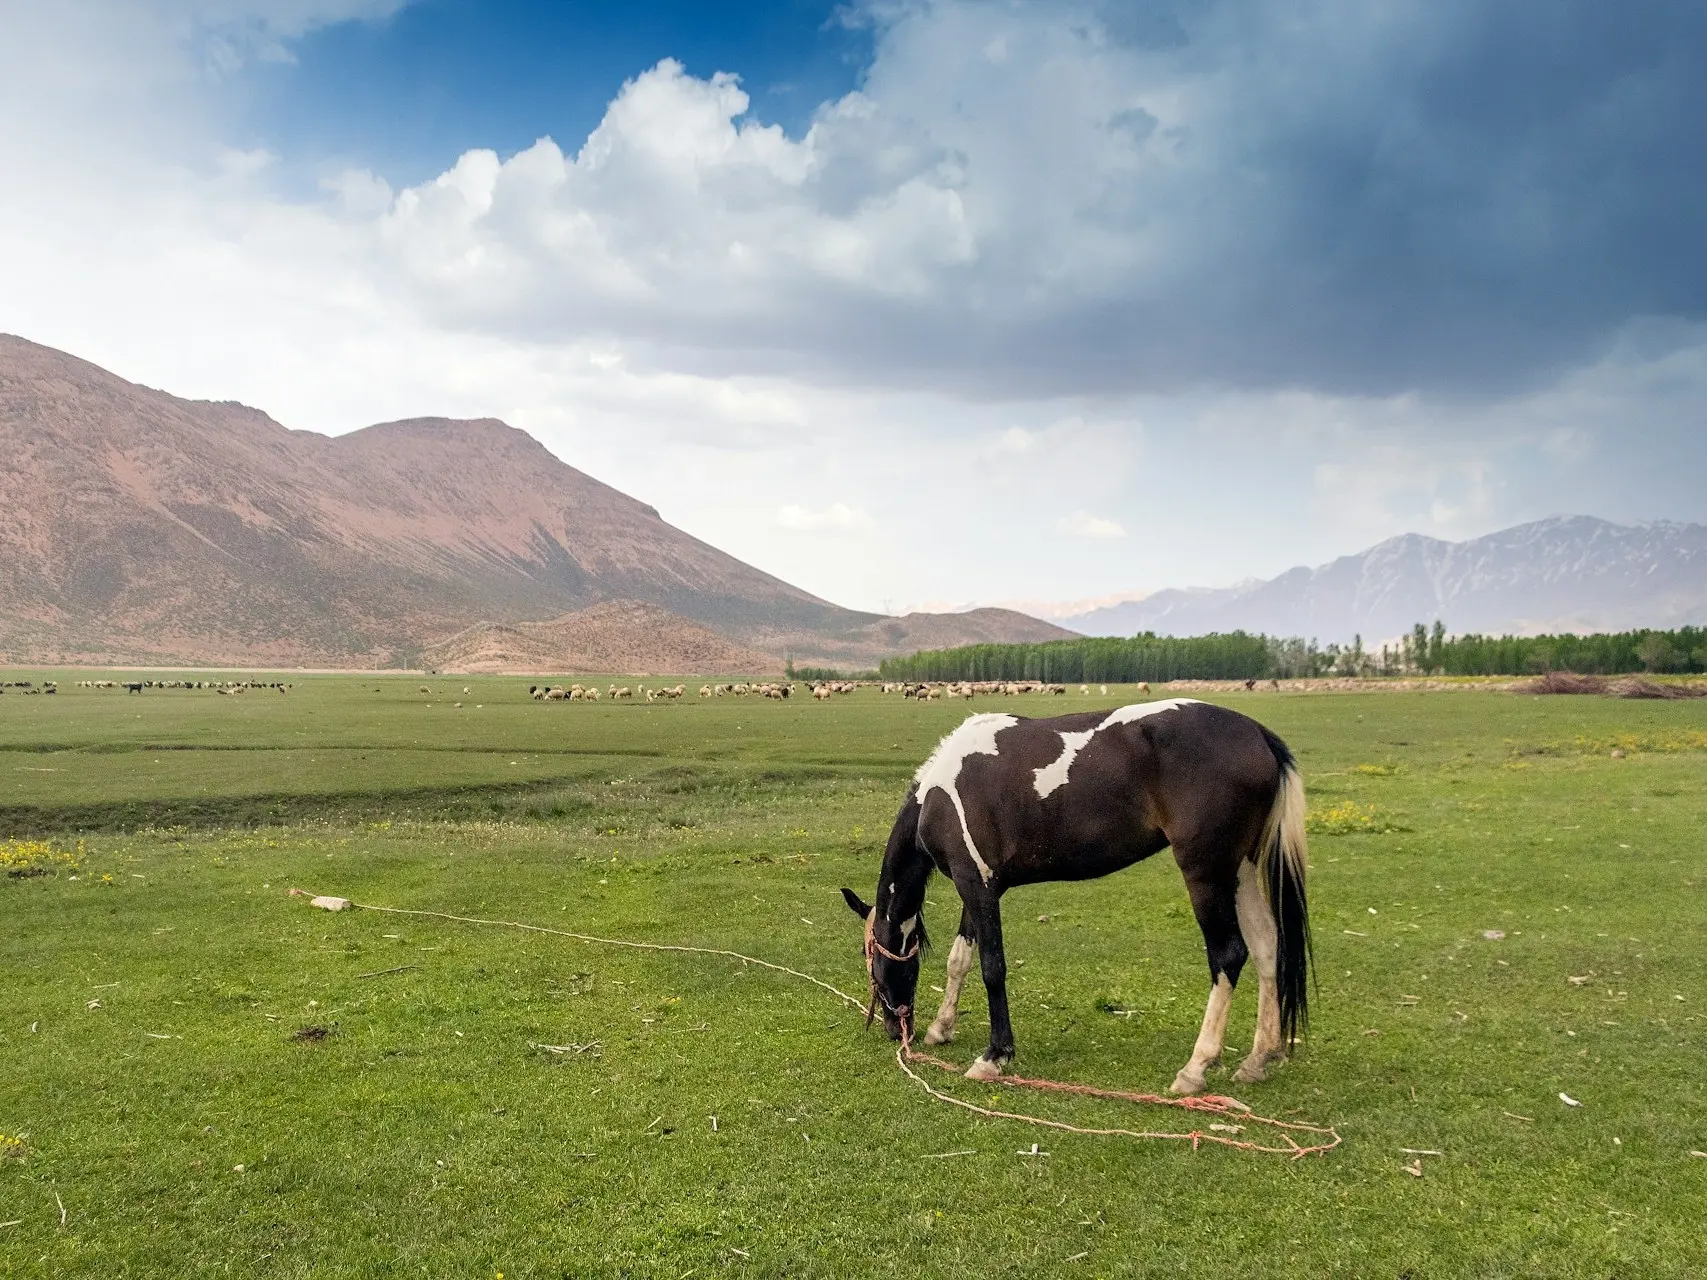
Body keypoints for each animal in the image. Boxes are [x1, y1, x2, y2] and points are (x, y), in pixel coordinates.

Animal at [846, 696, 1310, 1099]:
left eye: (872, 963)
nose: (894, 1030)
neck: (940, 793)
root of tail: (1256, 733)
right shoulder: (977, 887)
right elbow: (959, 959)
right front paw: (942, 1029)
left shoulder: (976, 887)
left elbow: (992, 967)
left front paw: (995, 1055)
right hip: (1241, 868)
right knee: (1267, 945)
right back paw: (1257, 1059)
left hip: (1206, 872)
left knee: (1229, 954)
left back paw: (1196, 1067)